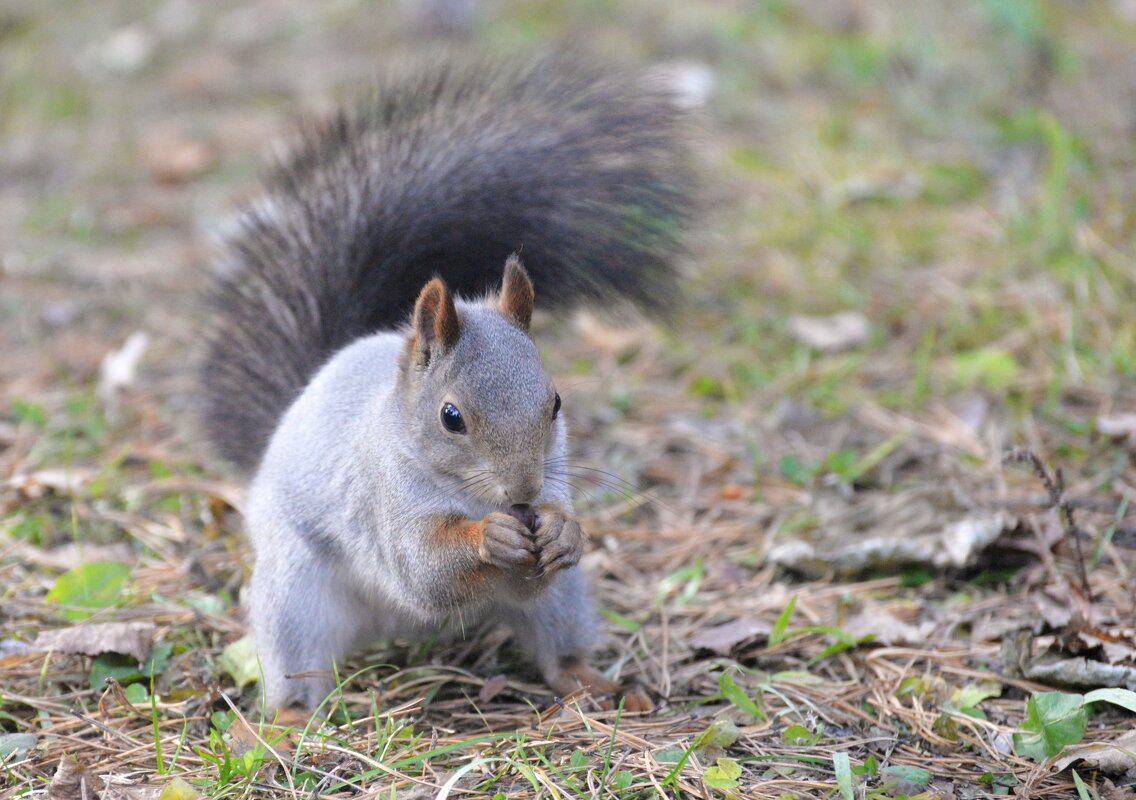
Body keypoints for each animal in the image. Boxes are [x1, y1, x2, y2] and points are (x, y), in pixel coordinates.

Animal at [197, 51, 690, 713]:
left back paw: (594, 685)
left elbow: (545, 551)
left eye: (556, 402)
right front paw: (489, 537)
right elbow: (424, 568)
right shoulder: (385, 497)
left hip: (563, 602)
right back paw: (286, 718)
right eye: (451, 417)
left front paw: (564, 530)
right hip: (294, 593)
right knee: (298, 668)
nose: (523, 491)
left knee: (556, 645)